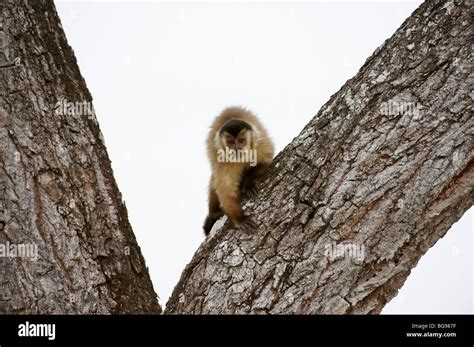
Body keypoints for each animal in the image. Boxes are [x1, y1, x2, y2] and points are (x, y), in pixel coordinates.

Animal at [203, 106, 274, 237]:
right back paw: (214, 212)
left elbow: (266, 161)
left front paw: (249, 182)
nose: (237, 149)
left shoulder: (260, 144)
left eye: (241, 140)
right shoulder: (223, 161)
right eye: (231, 142)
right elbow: (226, 192)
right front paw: (240, 219)